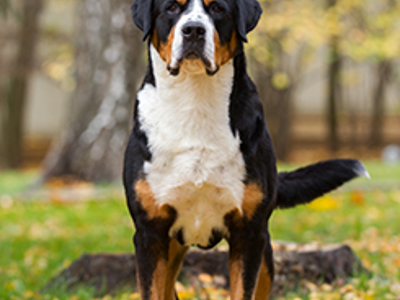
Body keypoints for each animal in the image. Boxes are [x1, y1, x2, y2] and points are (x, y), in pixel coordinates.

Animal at [122, 0, 368, 298]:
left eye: (217, 9)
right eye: (171, 8)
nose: (194, 30)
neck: (195, 103)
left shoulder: (249, 233)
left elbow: (242, 290)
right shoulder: (150, 232)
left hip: (264, 253)